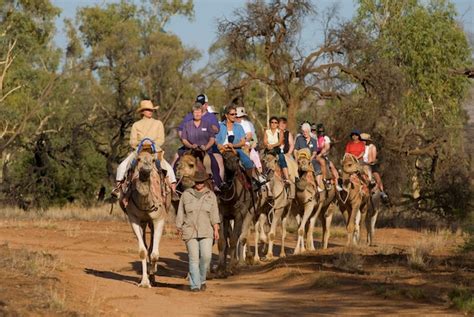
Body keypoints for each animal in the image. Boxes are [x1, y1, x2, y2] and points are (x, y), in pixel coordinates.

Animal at [121, 149, 169, 288]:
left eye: (153, 160)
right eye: (138, 159)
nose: (146, 170)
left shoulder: (159, 219)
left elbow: (155, 254)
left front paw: (152, 272)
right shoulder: (134, 219)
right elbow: (143, 251)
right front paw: (144, 282)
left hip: (152, 222)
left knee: (152, 246)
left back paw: (153, 276)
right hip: (143, 222)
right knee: (147, 247)